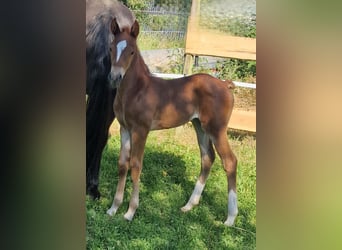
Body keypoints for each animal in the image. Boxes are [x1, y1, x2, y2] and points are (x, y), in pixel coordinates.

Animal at [107, 18, 238, 226]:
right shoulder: (124, 128)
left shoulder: (141, 130)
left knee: (230, 161)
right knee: (207, 158)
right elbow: (122, 164)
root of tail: (225, 84)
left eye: (132, 51)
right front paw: (113, 208)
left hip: (217, 129)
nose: (115, 77)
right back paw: (189, 205)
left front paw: (130, 212)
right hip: (200, 126)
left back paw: (231, 218)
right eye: (111, 48)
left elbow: (135, 165)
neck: (136, 91)